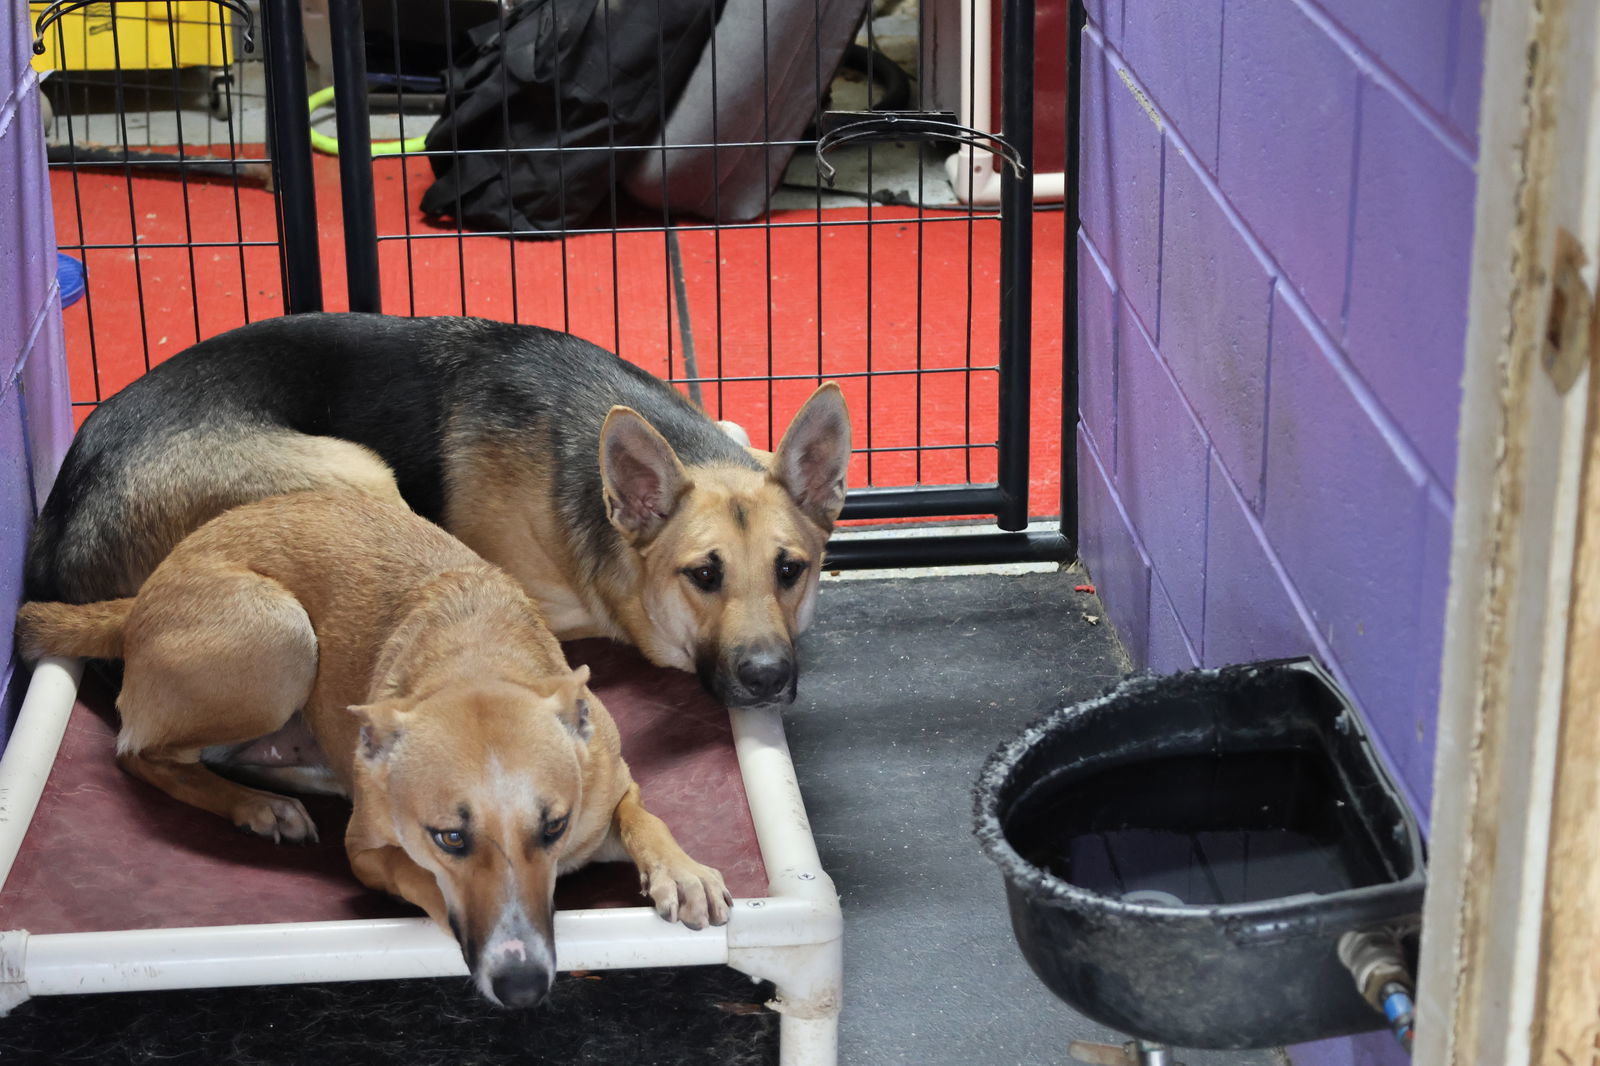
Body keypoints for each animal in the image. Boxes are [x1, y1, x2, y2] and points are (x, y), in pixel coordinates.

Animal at [15, 486, 729, 1005]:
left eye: (552, 827)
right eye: (449, 838)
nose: (524, 987)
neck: (479, 659)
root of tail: (138, 598)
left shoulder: (604, 787)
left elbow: (641, 813)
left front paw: (682, 870)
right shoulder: (368, 853)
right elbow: (415, 875)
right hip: (281, 636)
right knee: (142, 755)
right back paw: (256, 805)